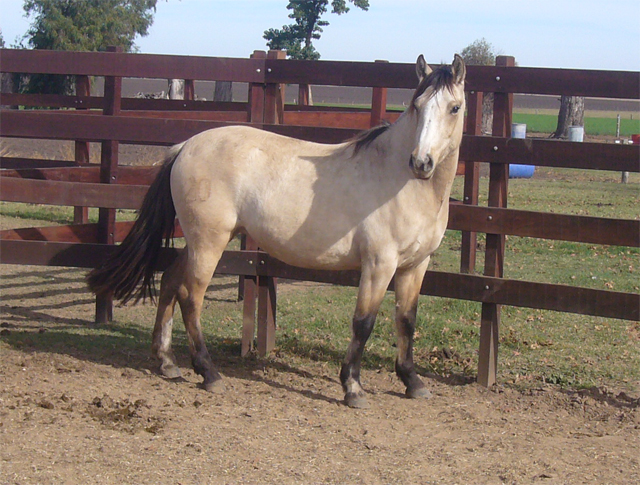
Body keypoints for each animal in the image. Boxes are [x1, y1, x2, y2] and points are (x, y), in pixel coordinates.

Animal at [87, 54, 468, 408]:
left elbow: (406, 320)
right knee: (190, 297)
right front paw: (353, 388)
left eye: (455, 107)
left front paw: (413, 382)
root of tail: (185, 147)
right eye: (417, 105)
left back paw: (167, 362)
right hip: (209, 243)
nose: (421, 163)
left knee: (169, 281)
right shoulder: (379, 264)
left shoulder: (415, 265)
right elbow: (364, 322)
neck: (399, 180)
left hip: (199, 241)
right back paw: (208, 372)